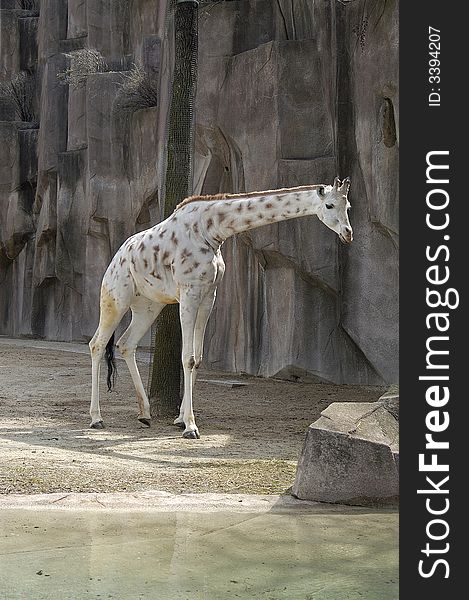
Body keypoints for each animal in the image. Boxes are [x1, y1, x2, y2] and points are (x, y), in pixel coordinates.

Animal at [88, 176, 352, 438]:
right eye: (329, 205)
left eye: (348, 206)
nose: (348, 234)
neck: (211, 231)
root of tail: (116, 258)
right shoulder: (189, 292)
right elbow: (187, 357)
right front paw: (190, 427)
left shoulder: (208, 295)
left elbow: (198, 358)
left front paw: (180, 419)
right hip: (115, 297)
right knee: (97, 344)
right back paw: (96, 418)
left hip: (149, 305)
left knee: (126, 343)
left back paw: (144, 414)